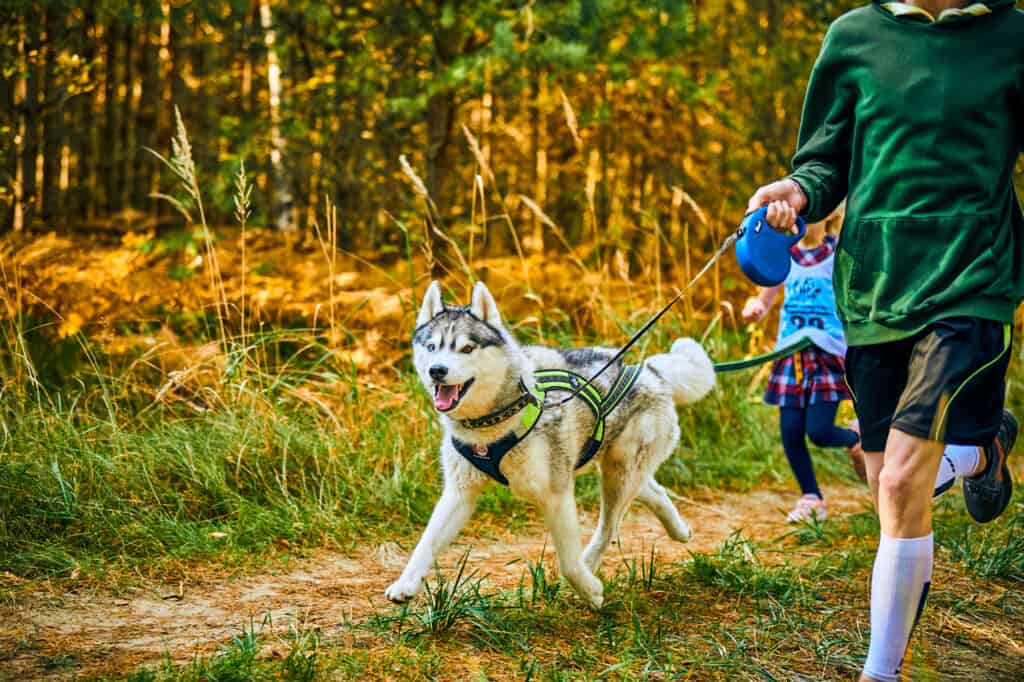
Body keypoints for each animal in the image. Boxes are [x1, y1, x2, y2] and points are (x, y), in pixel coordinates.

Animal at [387, 280, 716, 606]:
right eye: (432, 347)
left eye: (467, 348)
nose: (437, 370)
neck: (493, 423)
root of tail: (650, 371)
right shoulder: (459, 493)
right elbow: (426, 542)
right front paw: (406, 584)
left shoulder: (555, 493)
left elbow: (569, 562)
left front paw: (590, 591)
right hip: (617, 469)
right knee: (652, 490)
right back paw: (679, 530)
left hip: (619, 475)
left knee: (609, 526)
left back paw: (592, 564)